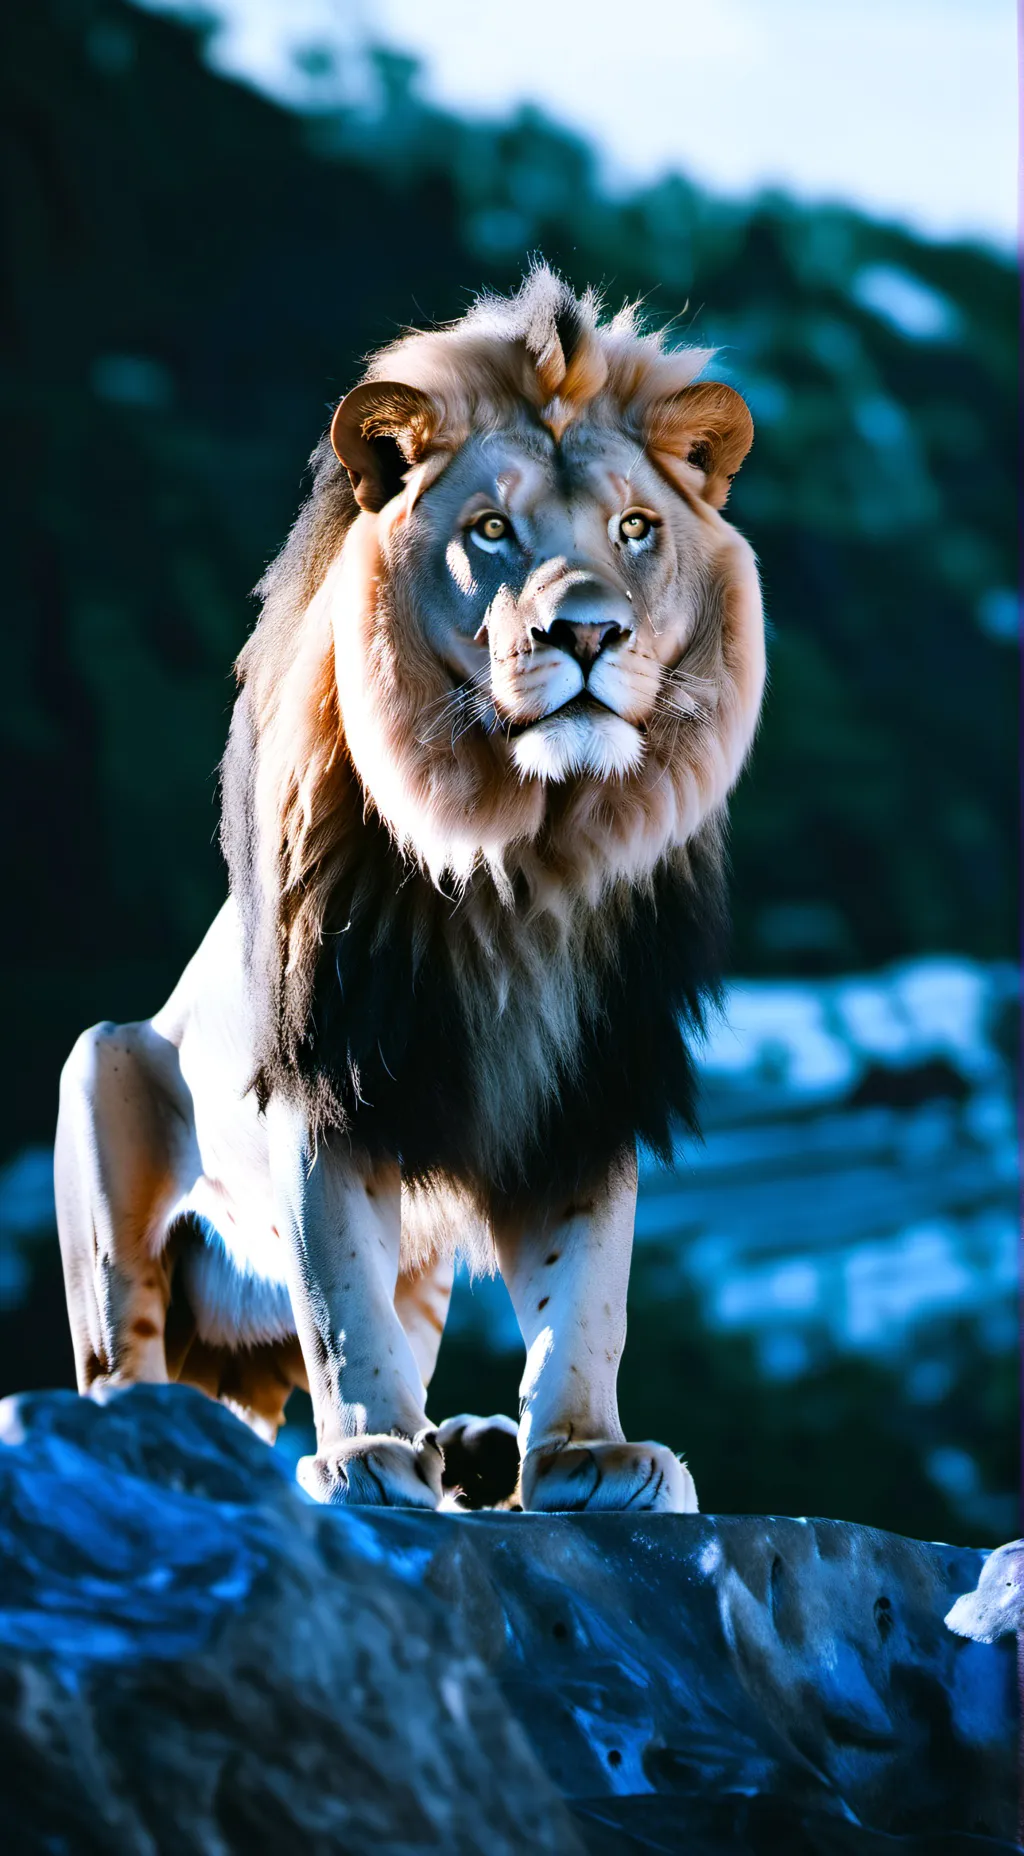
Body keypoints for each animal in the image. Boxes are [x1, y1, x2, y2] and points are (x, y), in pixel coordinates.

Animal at [55, 267, 765, 1512]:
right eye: (491, 529)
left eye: (635, 528)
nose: (587, 631)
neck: (524, 855)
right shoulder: (324, 1073)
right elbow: (341, 1297)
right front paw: (367, 1456)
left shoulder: (587, 1081)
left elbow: (586, 1293)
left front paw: (585, 1453)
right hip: (99, 1070)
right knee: (129, 1356)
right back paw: (163, 1434)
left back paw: (472, 1450)